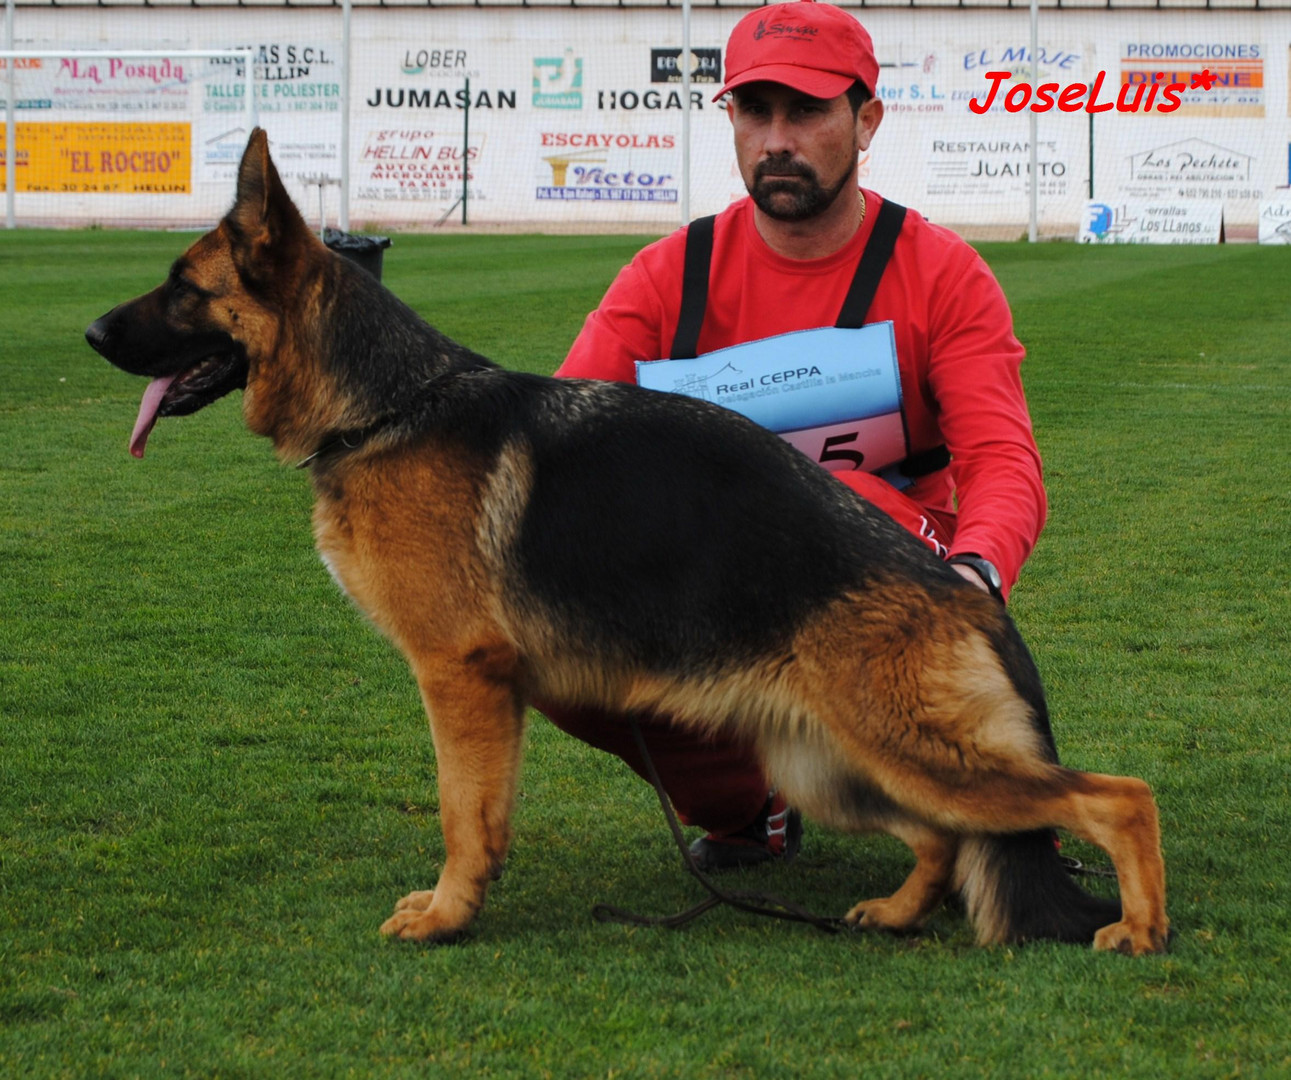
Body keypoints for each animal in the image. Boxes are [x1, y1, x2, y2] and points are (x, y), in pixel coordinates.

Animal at [83, 132, 1172, 954]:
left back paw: (1137, 930)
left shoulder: (458, 677)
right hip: (830, 762)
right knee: (943, 841)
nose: (89, 335)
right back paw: (896, 914)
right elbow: (481, 814)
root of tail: (961, 591)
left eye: (181, 288)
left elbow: (460, 813)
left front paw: (447, 918)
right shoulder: (485, 687)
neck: (387, 405)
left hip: (904, 751)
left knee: (1118, 797)